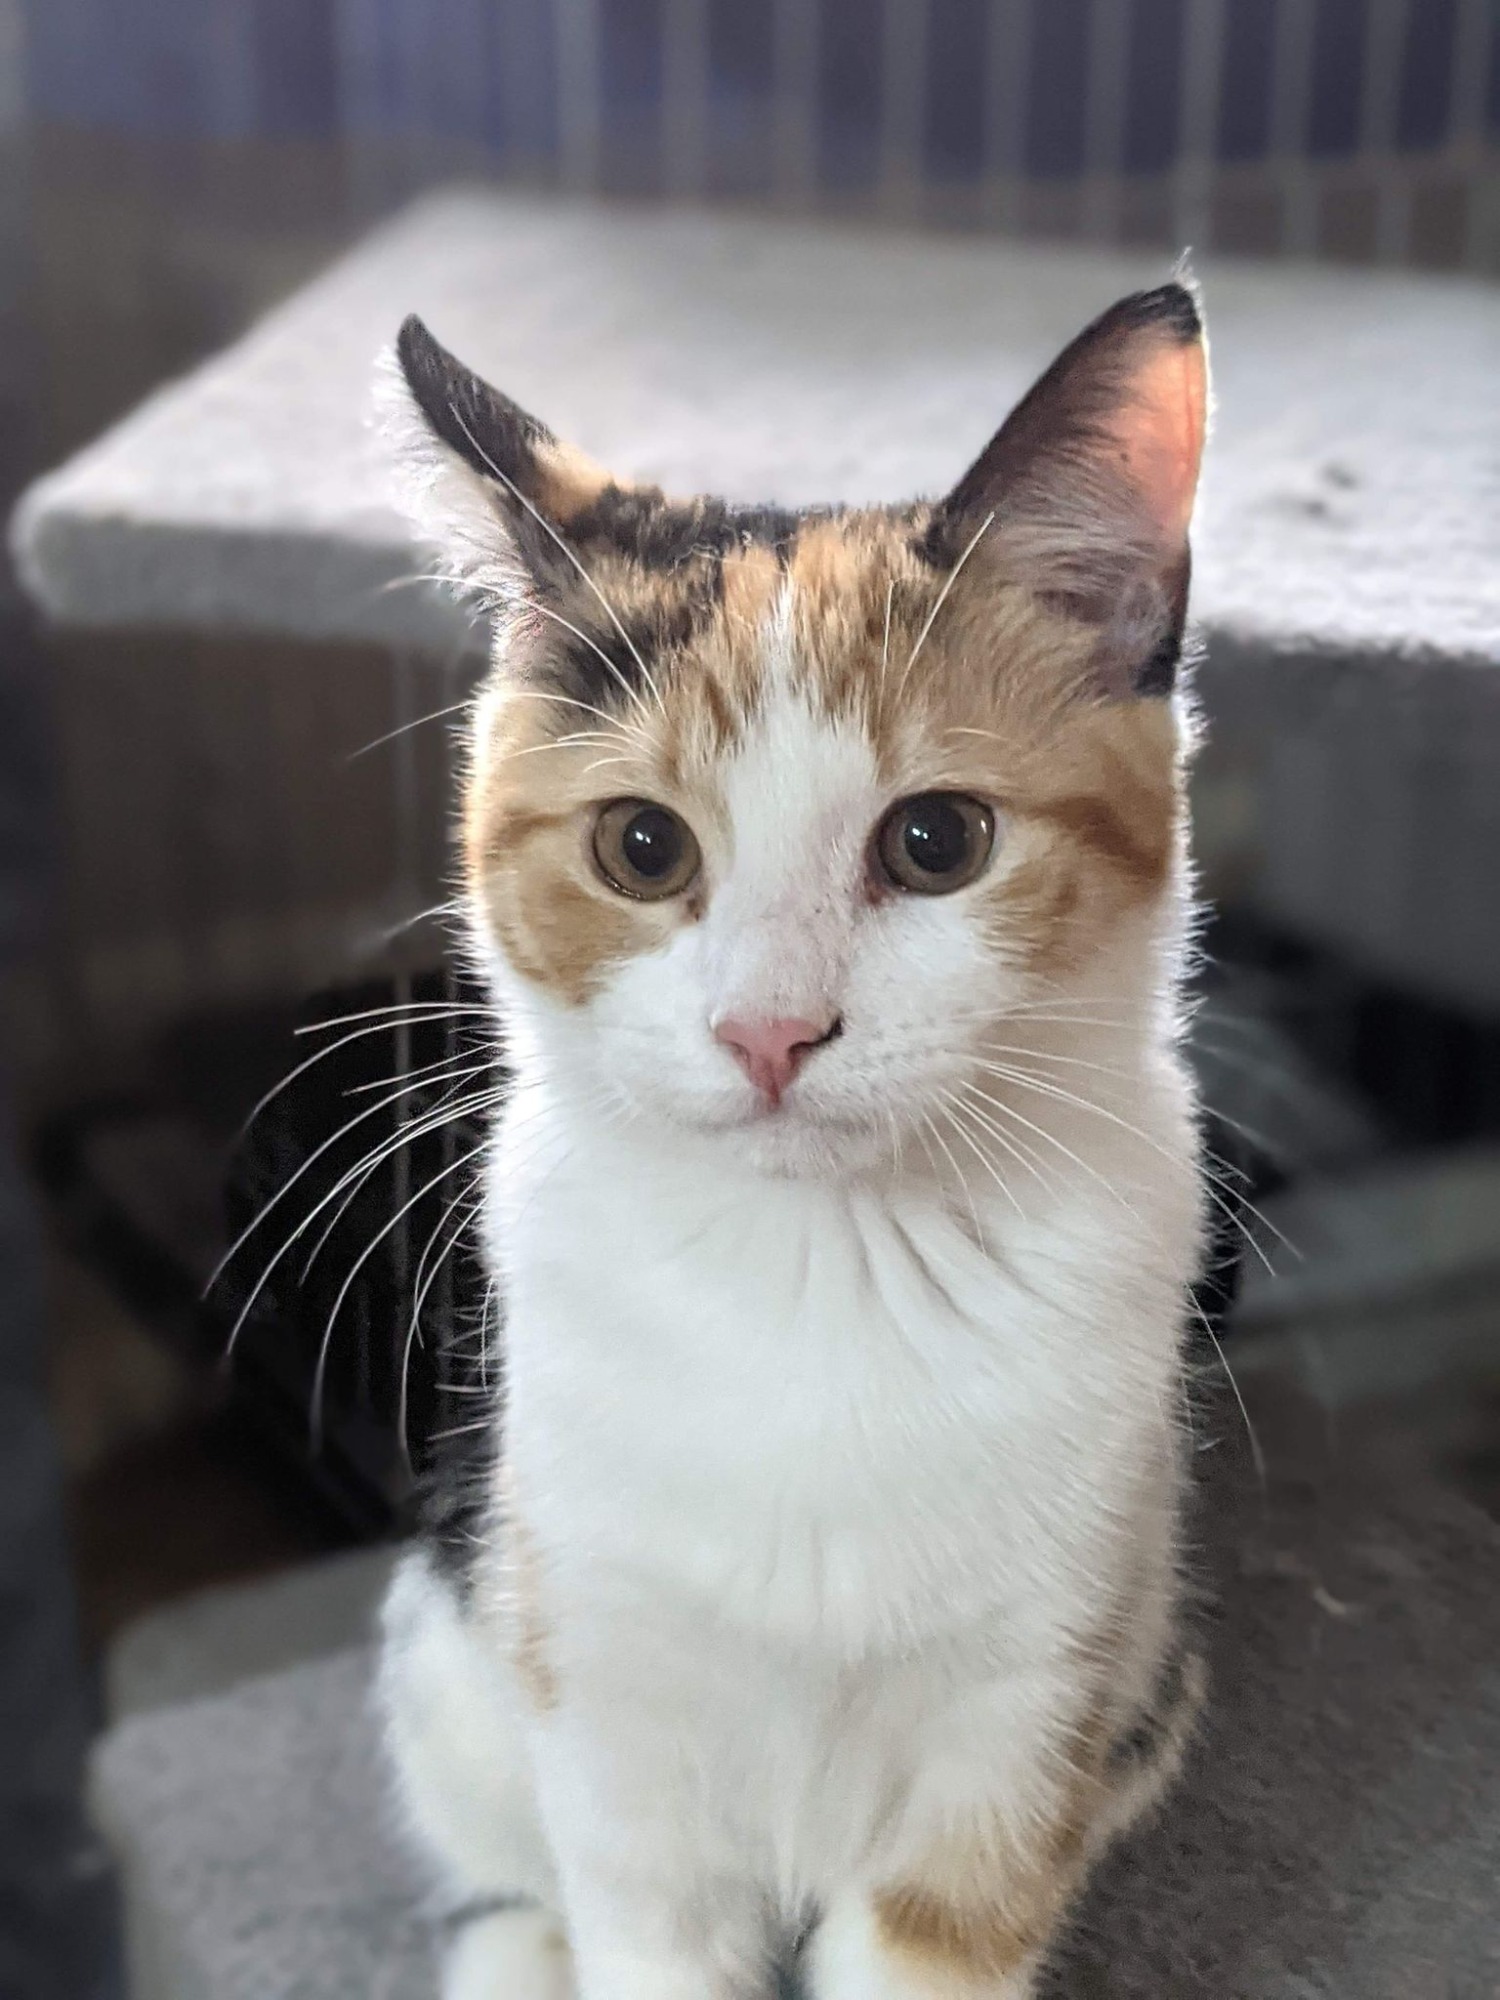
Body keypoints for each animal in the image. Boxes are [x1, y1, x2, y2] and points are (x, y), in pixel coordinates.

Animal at [375, 278, 1210, 2000]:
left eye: (938, 838)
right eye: (641, 845)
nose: (772, 1030)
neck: (827, 1272)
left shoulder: (1029, 1707)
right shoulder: (606, 1690)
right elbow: (635, 1920)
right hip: (448, 1650)